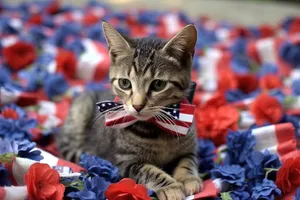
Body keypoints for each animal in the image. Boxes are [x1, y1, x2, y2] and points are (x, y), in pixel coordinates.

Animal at [56, 22, 202, 200]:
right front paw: (171, 187)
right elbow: (150, 171)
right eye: (124, 83)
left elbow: (187, 161)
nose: (137, 105)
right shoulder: (125, 161)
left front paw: (188, 178)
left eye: (158, 84)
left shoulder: (190, 148)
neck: (158, 128)